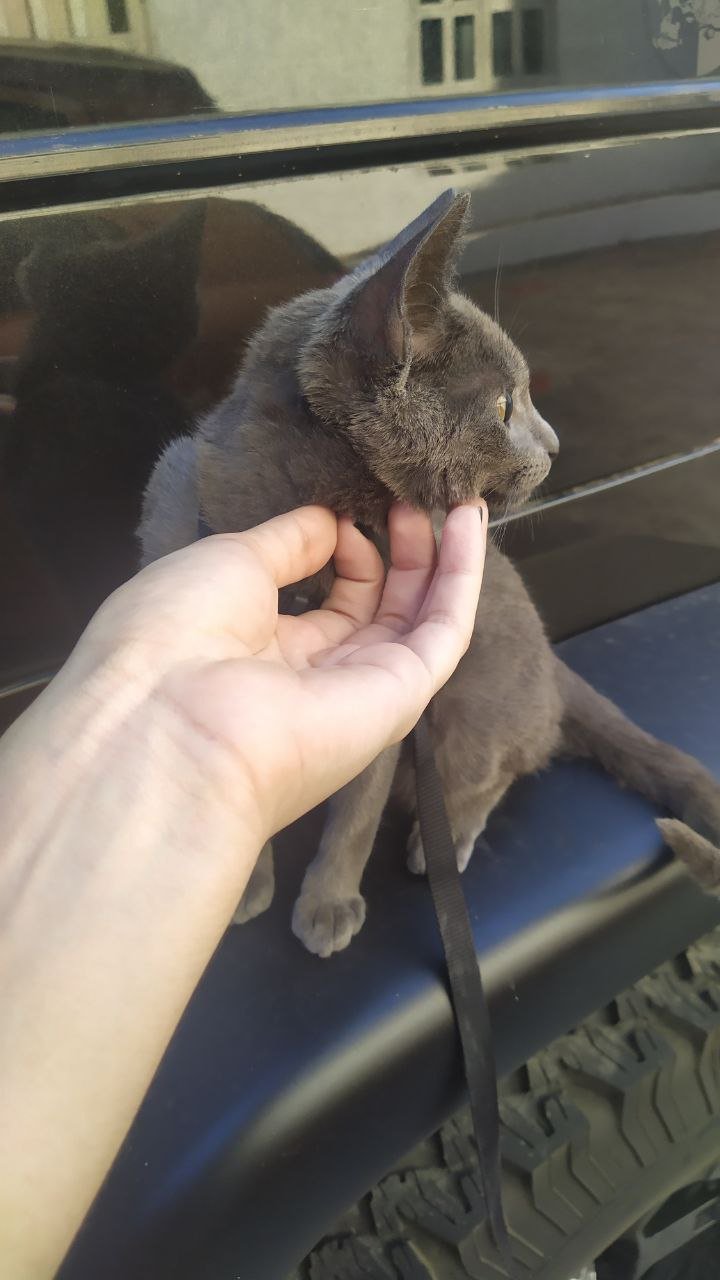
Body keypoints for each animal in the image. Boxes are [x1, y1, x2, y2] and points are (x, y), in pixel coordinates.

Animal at [139, 186, 717, 952]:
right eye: (502, 405)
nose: (556, 445)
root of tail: (552, 663)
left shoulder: (397, 710)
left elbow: (356, 812)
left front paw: (329, 903)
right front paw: (250, 884)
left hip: (471, 711)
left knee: (502, 771)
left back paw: (441, 840)